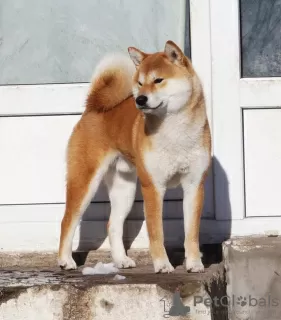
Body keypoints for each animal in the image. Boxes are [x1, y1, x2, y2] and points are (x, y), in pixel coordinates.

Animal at [57, 41, 210, 274]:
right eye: (139, 82)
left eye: (158, 80)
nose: (140, 99)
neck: (175, 131)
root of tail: (93, 107)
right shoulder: (153, 186)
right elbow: (156, 232)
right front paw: (163, 264)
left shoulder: (194, 185)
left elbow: (191, 233)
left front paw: (194, 263)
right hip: (85, 181)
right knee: (68, 220)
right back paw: (66, 260)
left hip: (124, 189)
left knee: (112, 225)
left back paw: (121, 260)